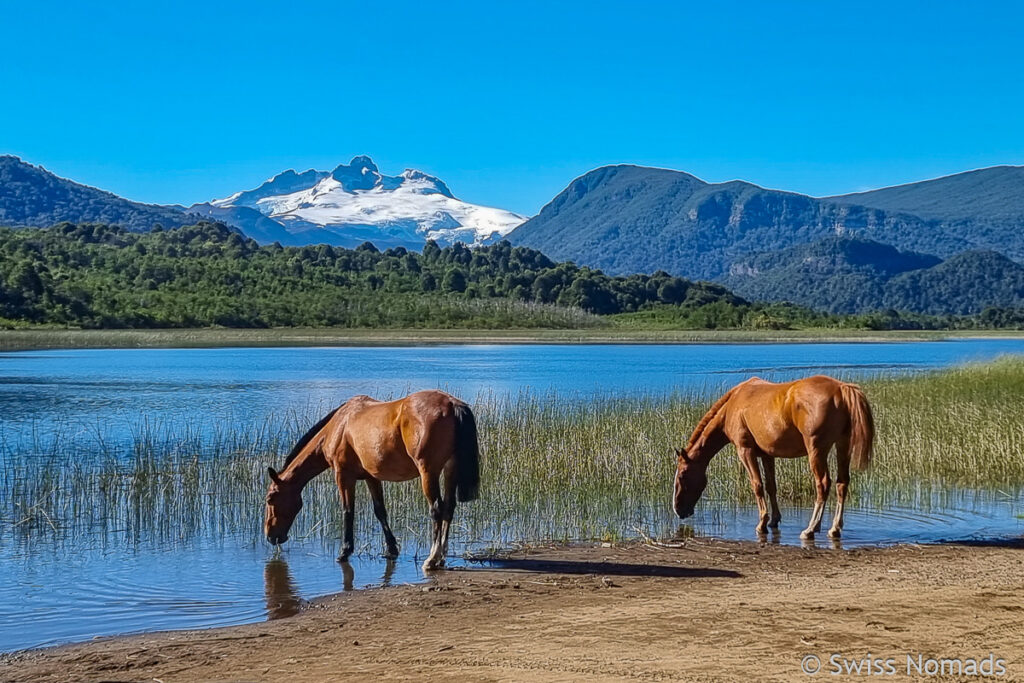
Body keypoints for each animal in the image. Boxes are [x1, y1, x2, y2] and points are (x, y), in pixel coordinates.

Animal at [264, 389, 479, 573]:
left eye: (270, 499)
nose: (271, 536)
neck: (340, 426)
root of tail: (451, 403)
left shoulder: (343, 476)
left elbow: (348, 511)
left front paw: (344, 552)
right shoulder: (371, 477)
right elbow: (380, 511)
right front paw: (391, 549)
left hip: (428, 472)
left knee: (436, 509)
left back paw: (432, 559)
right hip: (450, 469)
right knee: (449, 508)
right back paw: (441, 558)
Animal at [675, 374, 876, 540]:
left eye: (682, 475)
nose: (678, 510)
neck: (733, 405)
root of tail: (841, 389)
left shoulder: (745, 450)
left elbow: (757, 485)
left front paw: (762, 523)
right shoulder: (767, 454)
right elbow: (771, 486)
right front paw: (773, 520)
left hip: (817, 451)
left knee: (823, 485)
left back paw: (810, 529)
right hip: (843, 446)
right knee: (842, 483)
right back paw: (834, 529)